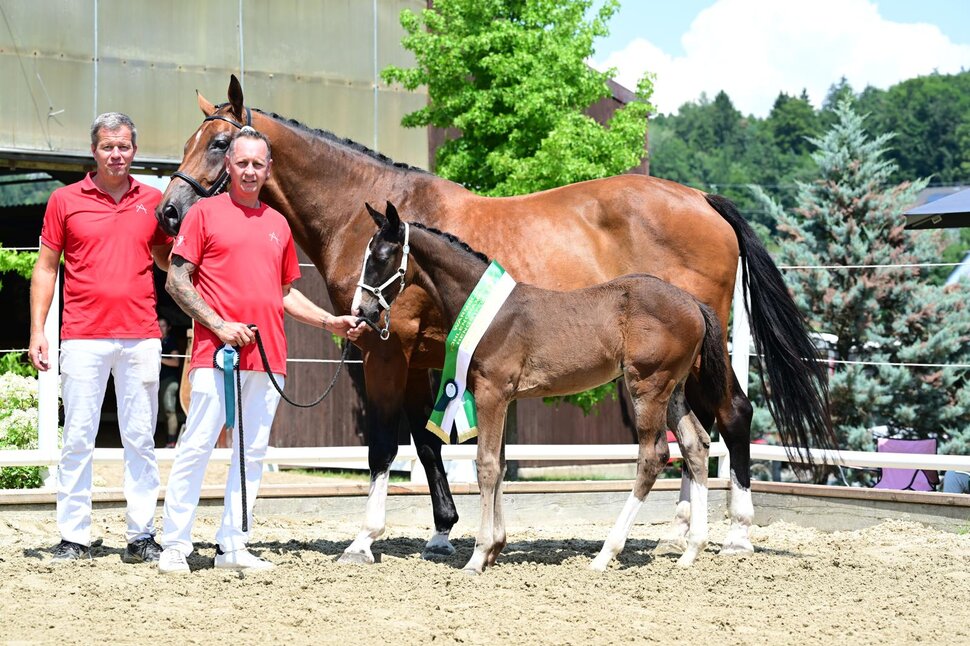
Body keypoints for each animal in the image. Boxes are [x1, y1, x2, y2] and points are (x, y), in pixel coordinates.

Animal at [357, 201, 725, 572]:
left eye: (382, 256)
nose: (362, 310)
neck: (489, 314)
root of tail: (693, 303)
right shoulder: (504, 399)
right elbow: (501, 465)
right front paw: (495, 548)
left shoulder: (491, 394)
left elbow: (486, 465)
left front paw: (478, 555)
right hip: (674, 390)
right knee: (696, 444)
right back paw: (692, 549)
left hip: (648, 387)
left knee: (653, 456)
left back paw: (606, 553)